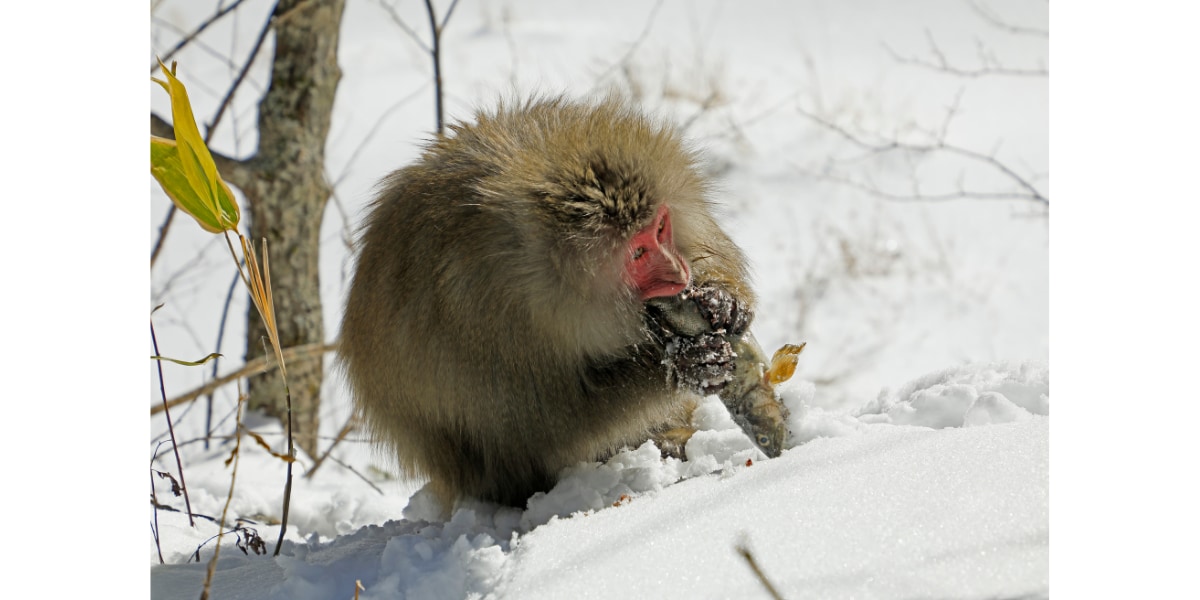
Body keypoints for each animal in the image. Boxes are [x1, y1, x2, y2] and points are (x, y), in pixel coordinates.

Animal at [338, 96, 753, 508]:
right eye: (637, 253)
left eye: (661, 229)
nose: (678, 272)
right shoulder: (492, 312)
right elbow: (547, 420)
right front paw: (685, 364)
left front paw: (723, 299)